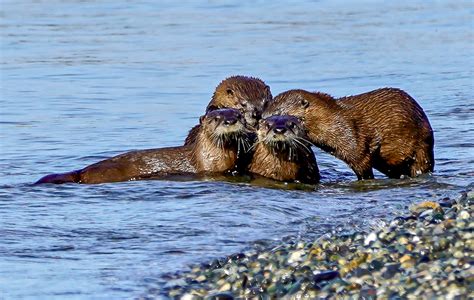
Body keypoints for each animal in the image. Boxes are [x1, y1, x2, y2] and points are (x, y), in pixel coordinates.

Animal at [264, 88, 436, 179]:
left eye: (279, 112)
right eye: (267, 108)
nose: (264, 119)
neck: (333, 121)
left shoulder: (355, 143)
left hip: (422, 148)